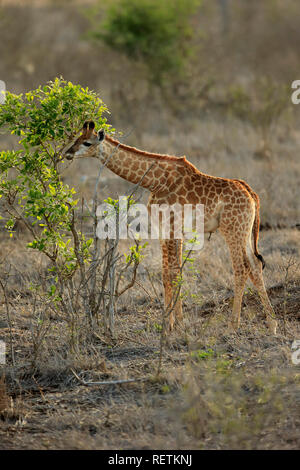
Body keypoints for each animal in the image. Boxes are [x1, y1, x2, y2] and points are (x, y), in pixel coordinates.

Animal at [64, 121, 278, 334]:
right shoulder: (164, 229)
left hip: (232, 229)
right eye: (76, 138)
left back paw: (233, 325)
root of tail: (252, 194)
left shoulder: (172, 227)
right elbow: (169, 272)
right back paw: (272, 324)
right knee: (255, 265)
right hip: (245, 231)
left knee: (241, 268)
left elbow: (172, 272)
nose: (67, 153)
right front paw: (174, 323)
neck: (154, 181)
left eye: (87, 142)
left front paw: (171, 324)